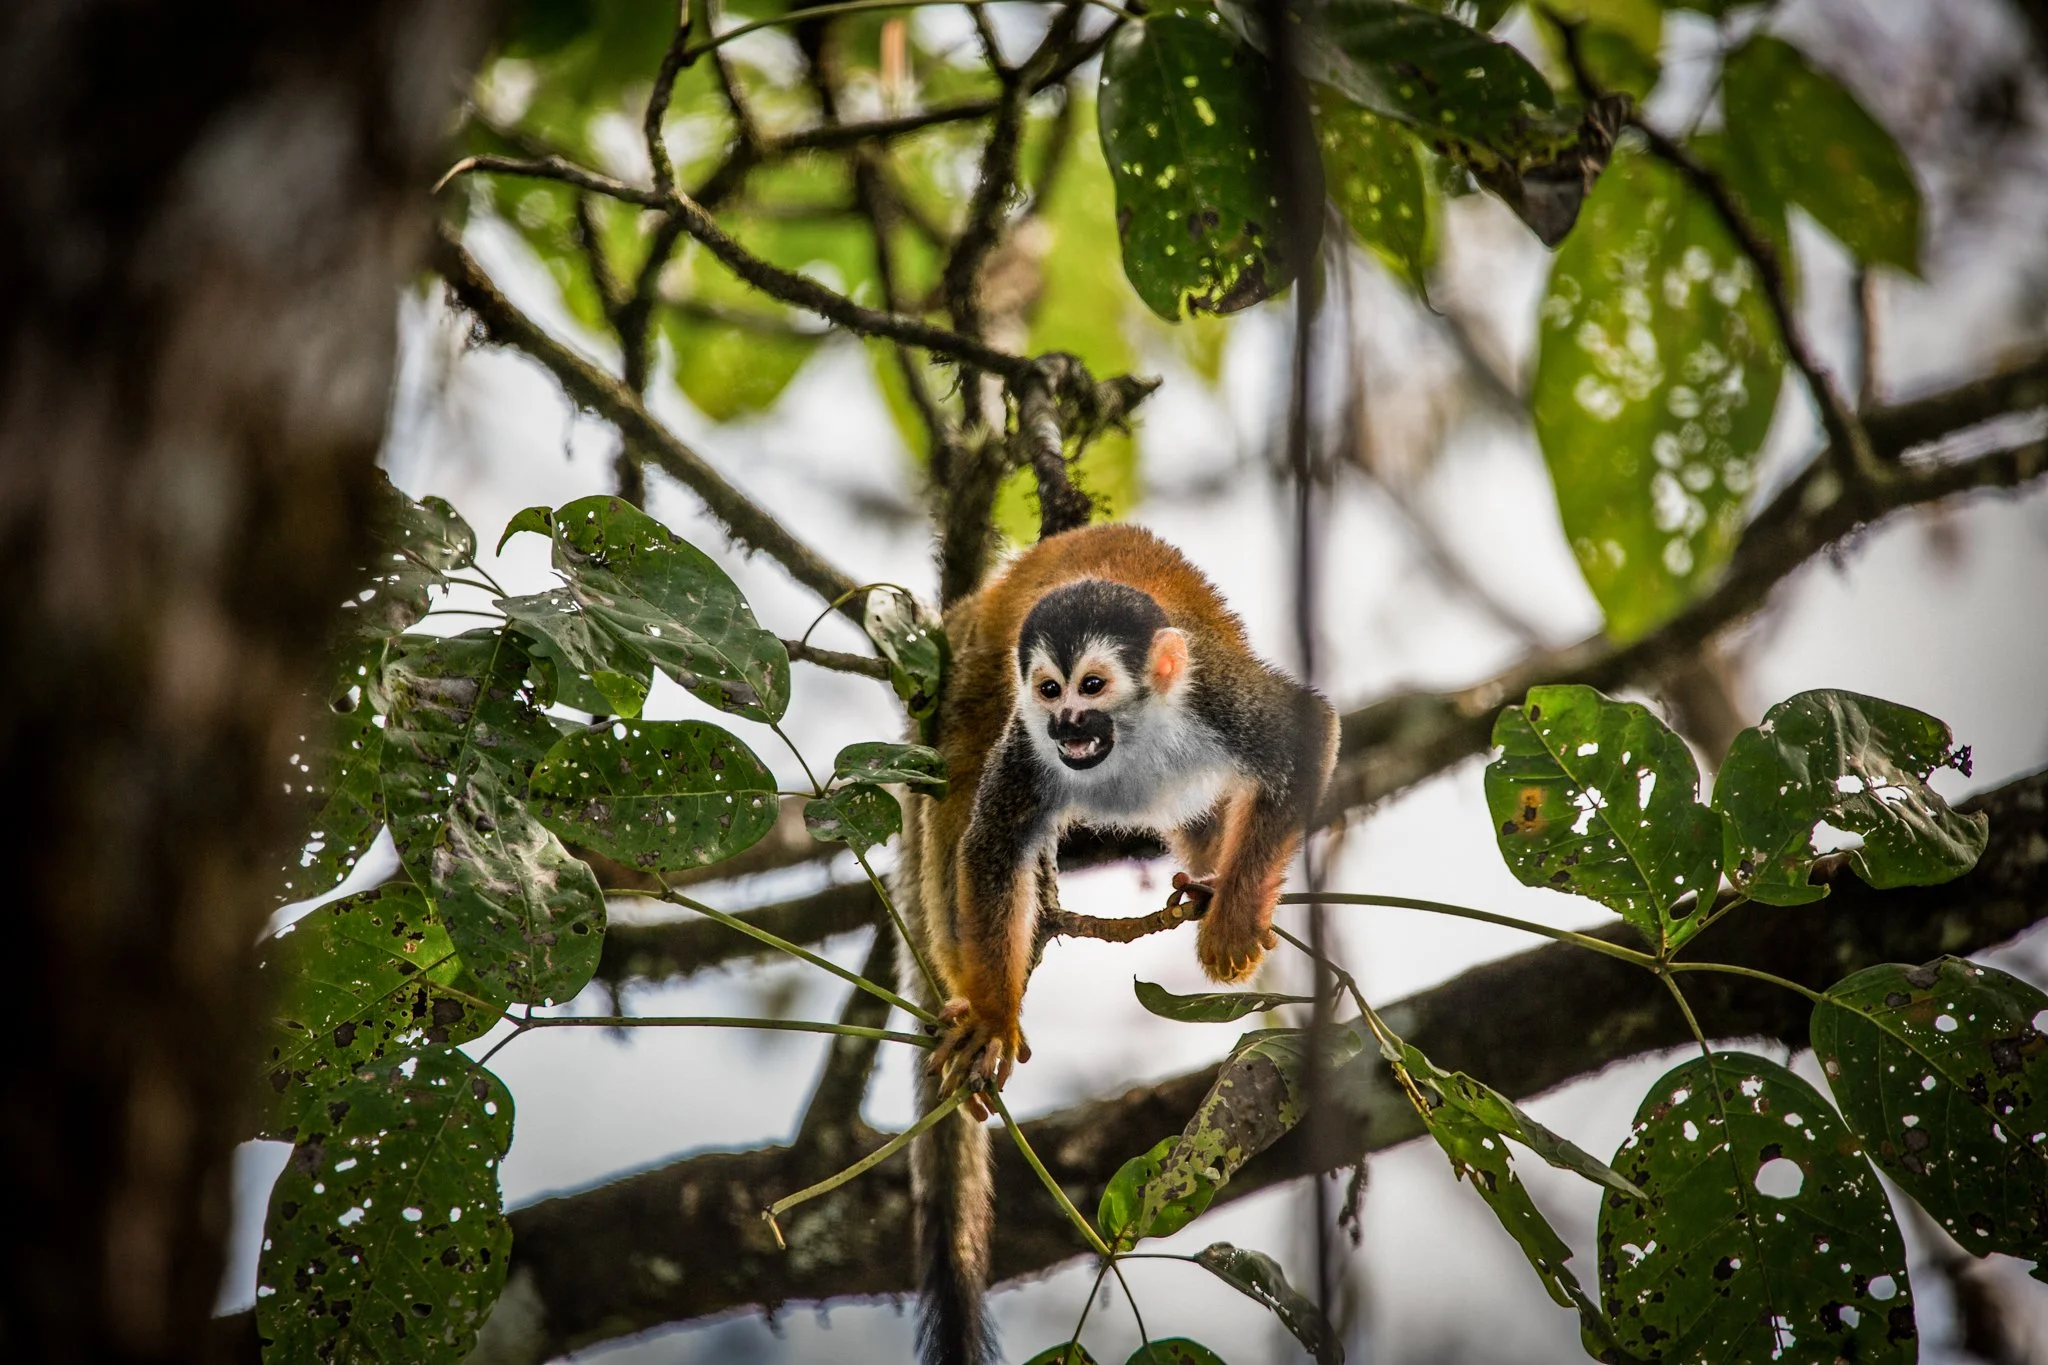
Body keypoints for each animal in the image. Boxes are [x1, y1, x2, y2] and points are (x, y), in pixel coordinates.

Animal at [896, 523, 1338, 1365]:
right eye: (1050, 690)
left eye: (1092, 686)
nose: (1067, 724)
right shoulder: (1025, 745)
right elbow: (990, 845)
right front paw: (993, 1019)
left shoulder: (1215, 699)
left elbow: (1308, 735)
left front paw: (1233, 919)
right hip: (972, 676)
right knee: (954, 793)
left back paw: (1214, 878)